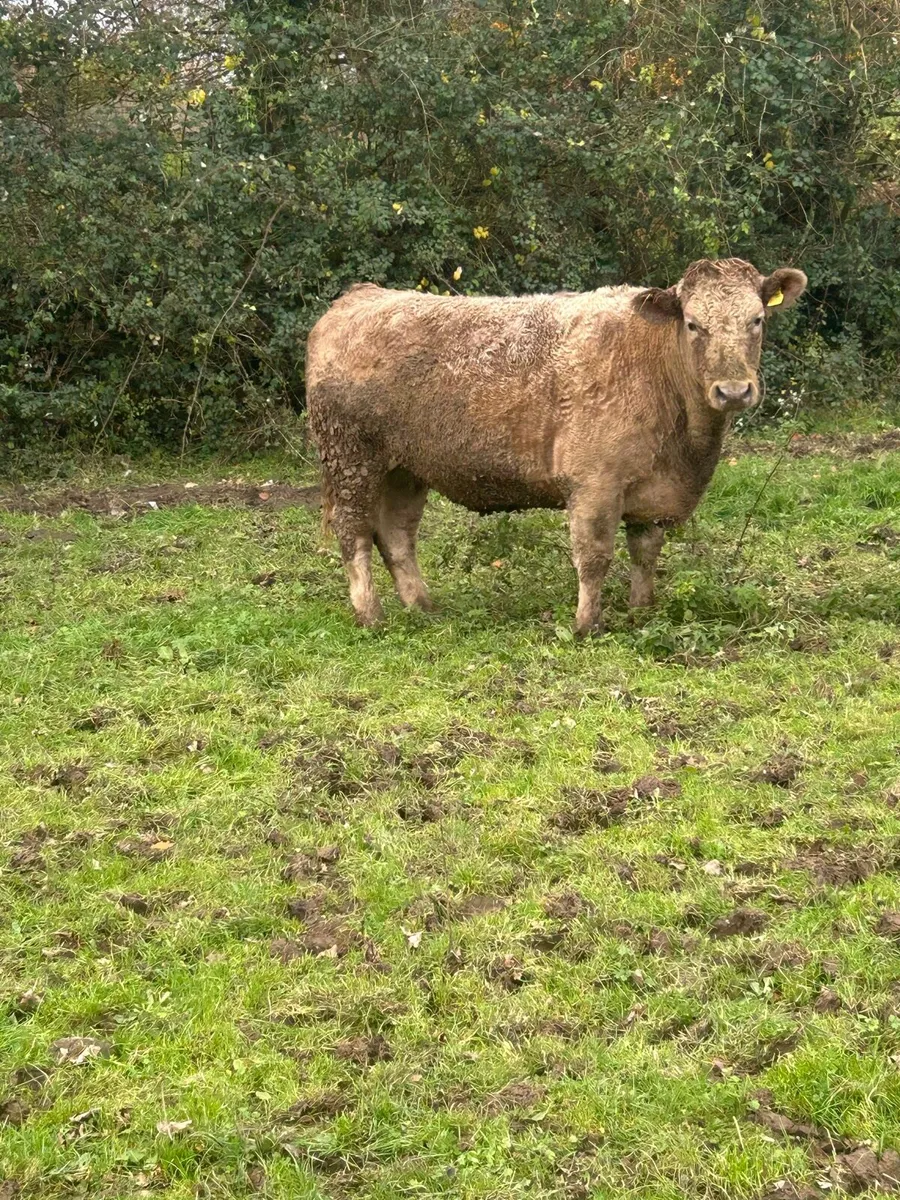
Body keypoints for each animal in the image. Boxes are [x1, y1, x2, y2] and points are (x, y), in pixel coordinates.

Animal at [305, 257, 806, 635]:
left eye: (756, 320)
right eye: (692, 323)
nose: (734, 391)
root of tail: (361, 296)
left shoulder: (652, 490)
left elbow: (645, 553)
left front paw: (640, 610)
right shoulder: (594, 483)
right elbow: (594, 556)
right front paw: (587, 625)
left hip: (406, 467)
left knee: (396, 535)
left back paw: (423, 607)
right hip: (351, 458)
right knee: (354, 533)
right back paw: (371, 615)